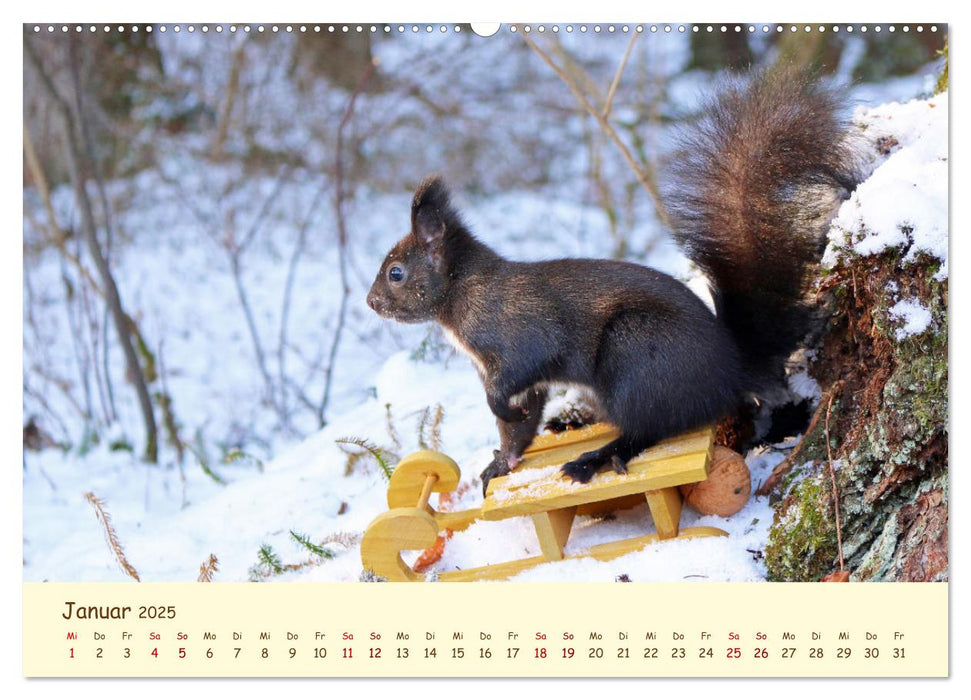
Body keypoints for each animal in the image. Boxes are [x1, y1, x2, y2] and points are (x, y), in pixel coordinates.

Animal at [364, 65, 860, 492]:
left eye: (395, 273)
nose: (371, 303)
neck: (461, 295)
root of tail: (732, 369)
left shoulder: (518, 335)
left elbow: (517, 383)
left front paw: (501, 412)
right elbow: (518, 426)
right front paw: (501, 462)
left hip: (636, 351)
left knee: (651, 428)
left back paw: (596, 458)